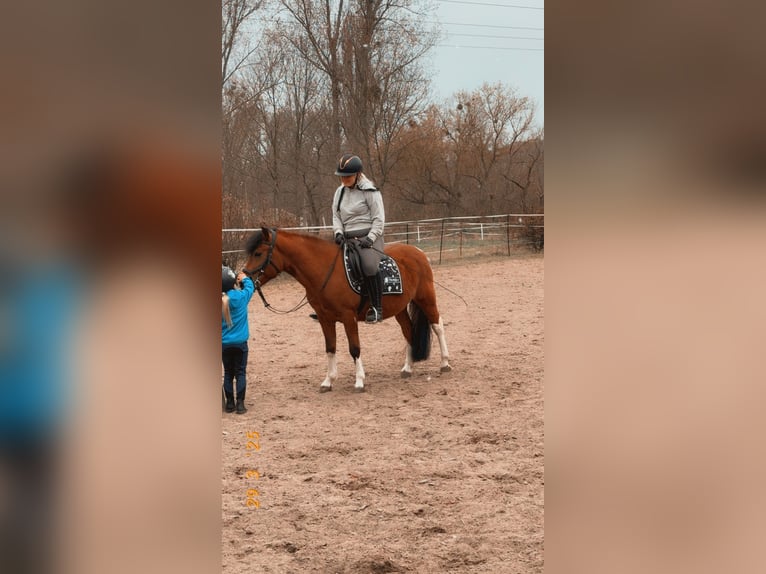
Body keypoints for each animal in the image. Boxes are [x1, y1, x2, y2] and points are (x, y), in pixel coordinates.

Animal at [243, 227, 451, 392]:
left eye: (258, 253)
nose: (241, 278)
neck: (325, 270)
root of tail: (418, 252)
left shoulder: (348, 317)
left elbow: (354, 348)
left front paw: (359, 381)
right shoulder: (325, 319)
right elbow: (330, 348)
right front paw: (328, 381)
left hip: (426, 298)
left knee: (437, 325)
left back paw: (445, 363)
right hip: (399, 308)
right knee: (408, 330)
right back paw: (408, 368)